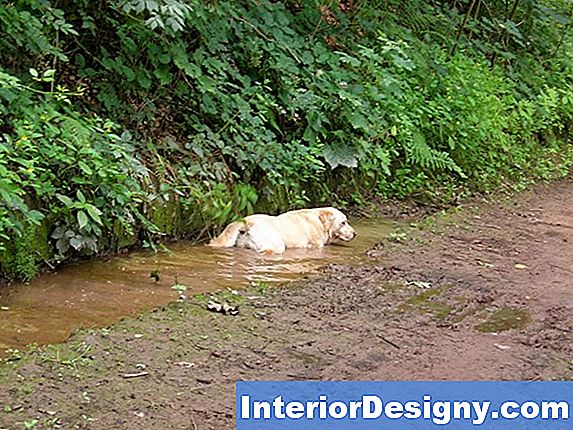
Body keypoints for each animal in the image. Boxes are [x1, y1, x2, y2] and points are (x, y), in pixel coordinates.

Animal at [207, 207, 358, 254]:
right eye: (343, 222)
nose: (355, 233)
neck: (319, 221)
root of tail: (246, 221)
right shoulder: (316, 245)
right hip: (276, 244)